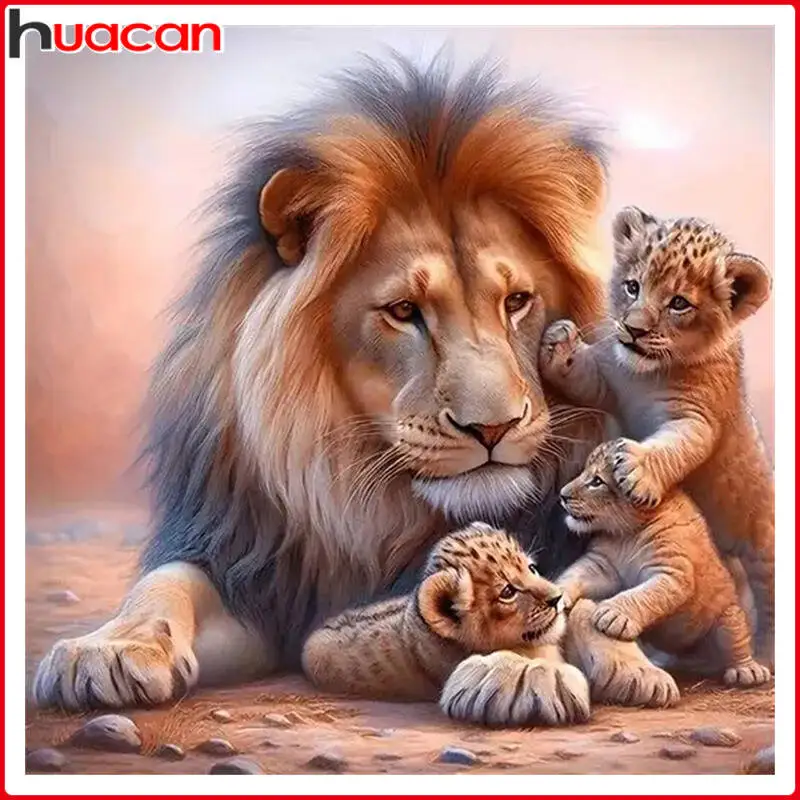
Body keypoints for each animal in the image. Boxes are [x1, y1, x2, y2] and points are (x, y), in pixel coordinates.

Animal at [33, 55, 679, 721]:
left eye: (517, 301)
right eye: (403, 311)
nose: (493, 427)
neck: (374, 509)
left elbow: (564, 593)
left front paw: (523, 671)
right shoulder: (256, 572)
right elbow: (166, 583)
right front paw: (106, 650)